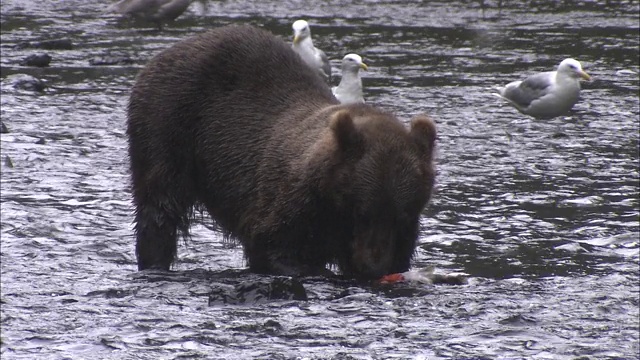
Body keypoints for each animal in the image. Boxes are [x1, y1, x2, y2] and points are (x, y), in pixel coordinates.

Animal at [127, 24, 438, 278]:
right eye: (363, 211)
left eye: (402, 214)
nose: (373, 266)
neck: (330, 197)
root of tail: (168, 50)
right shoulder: (291, 198)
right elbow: (273, 245)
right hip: (168, 123)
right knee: (159, 203)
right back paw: (154, 260)